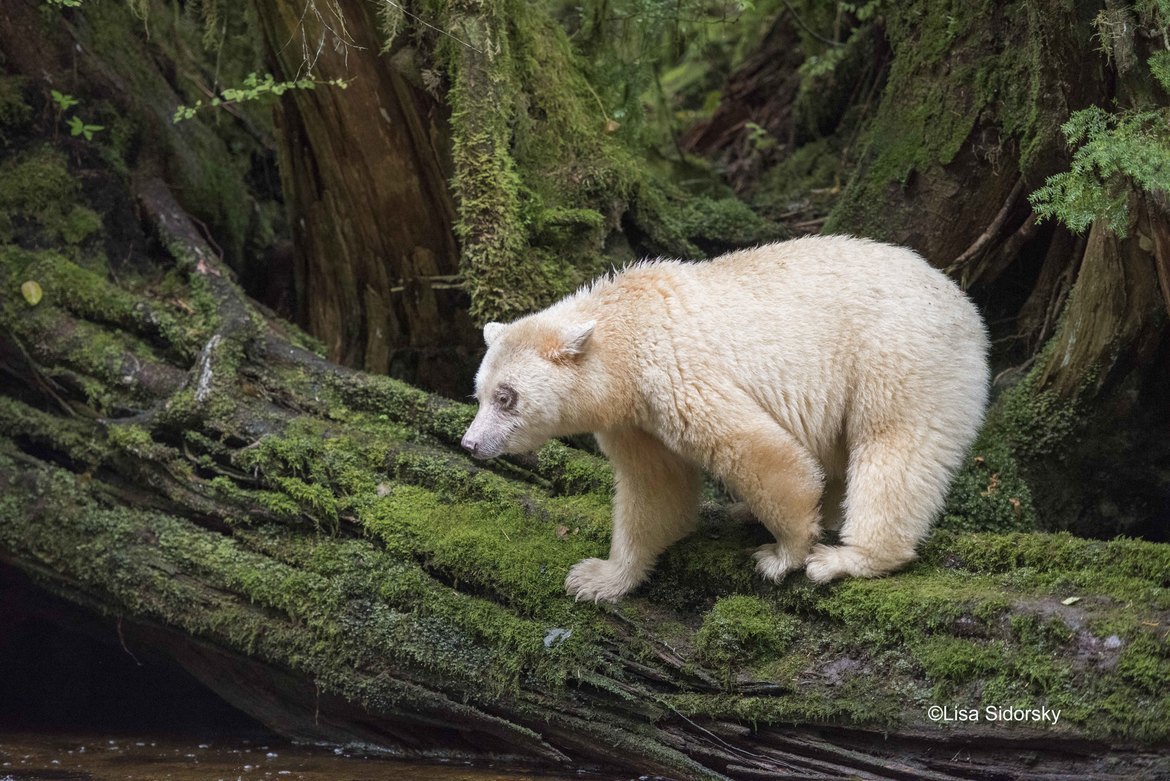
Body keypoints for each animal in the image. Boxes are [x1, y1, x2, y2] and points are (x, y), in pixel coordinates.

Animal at [461, 235, 990, 602]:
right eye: (479, 393)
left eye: (506, 397)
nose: (471, 443)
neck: (627, 332)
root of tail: (968, 311)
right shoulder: (635, 420)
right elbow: (656, 488)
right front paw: (596, 577)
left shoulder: (677, 374)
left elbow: (759, 453)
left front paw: (782, 554)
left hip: (900, 360)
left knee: (894, 450)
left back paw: (847, 558)